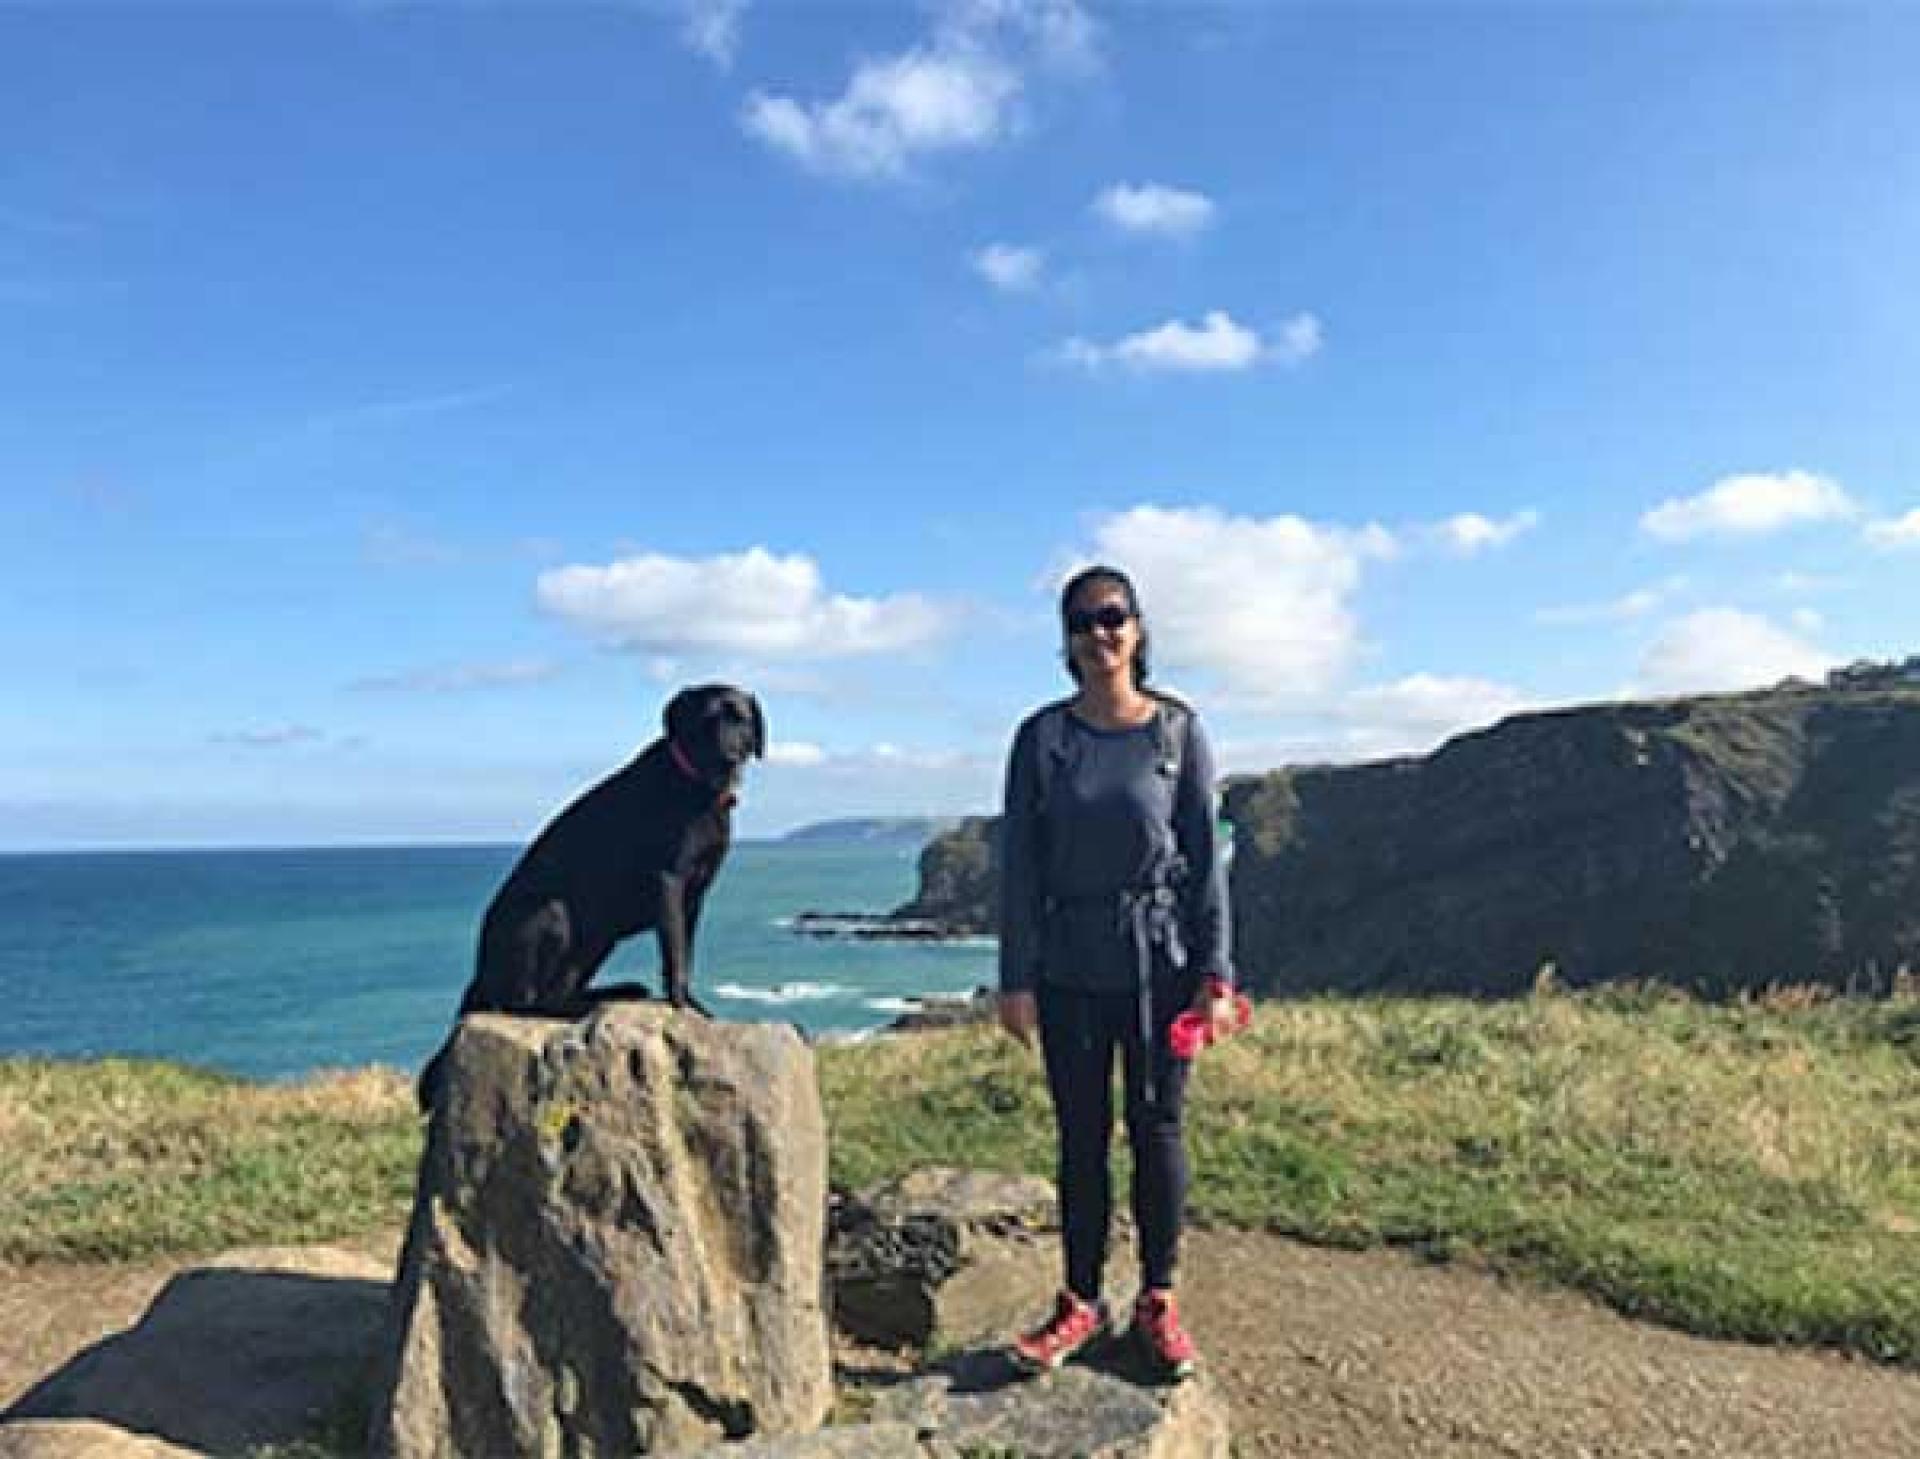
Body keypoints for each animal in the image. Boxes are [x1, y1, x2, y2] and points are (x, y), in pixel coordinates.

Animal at [420, 683, 764, 1105]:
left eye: (740, 720)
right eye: (705, 722)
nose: (728, 757)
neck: (695, 787)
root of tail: (479, 973)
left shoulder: (695, 896)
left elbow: (686, 952)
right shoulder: (669, 884)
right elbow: (675, 954)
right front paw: (683, 1007)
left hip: (597, 939)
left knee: (558, 990)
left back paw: (610, 994)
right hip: (552, 912)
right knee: (527, 1002)